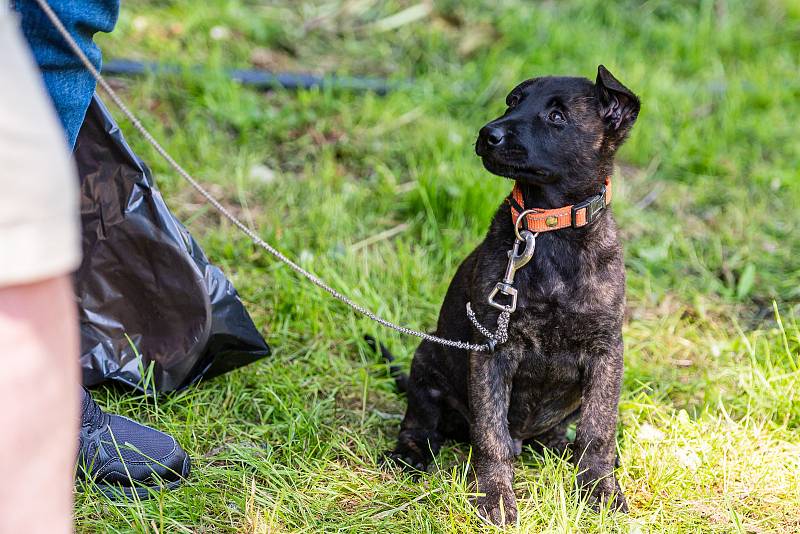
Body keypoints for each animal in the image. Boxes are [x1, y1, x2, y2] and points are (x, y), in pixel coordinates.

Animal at [376, 66, 644, 528]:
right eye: (513, 101)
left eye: (556, 116)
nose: (489, 134)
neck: (549, 230)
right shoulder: (492, 350)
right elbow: (490, 435)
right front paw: (495, 498)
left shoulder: (606, 351)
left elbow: (598, 431)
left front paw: (600, 492)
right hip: (427, 362)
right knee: (420, 424)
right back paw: (410, 456)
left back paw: (560, 448)